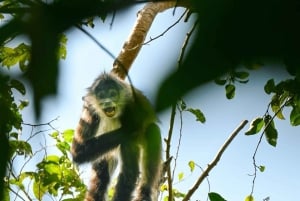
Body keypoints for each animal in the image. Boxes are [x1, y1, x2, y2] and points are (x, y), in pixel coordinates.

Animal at [70, 72, 162, 201]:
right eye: (101, 96)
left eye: (113, 94)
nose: (107, 102)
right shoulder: (89, 109)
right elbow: (77, 152)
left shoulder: (130, 107)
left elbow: (129, 174)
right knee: (102, 168)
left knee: (152, 129)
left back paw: (145, 193)